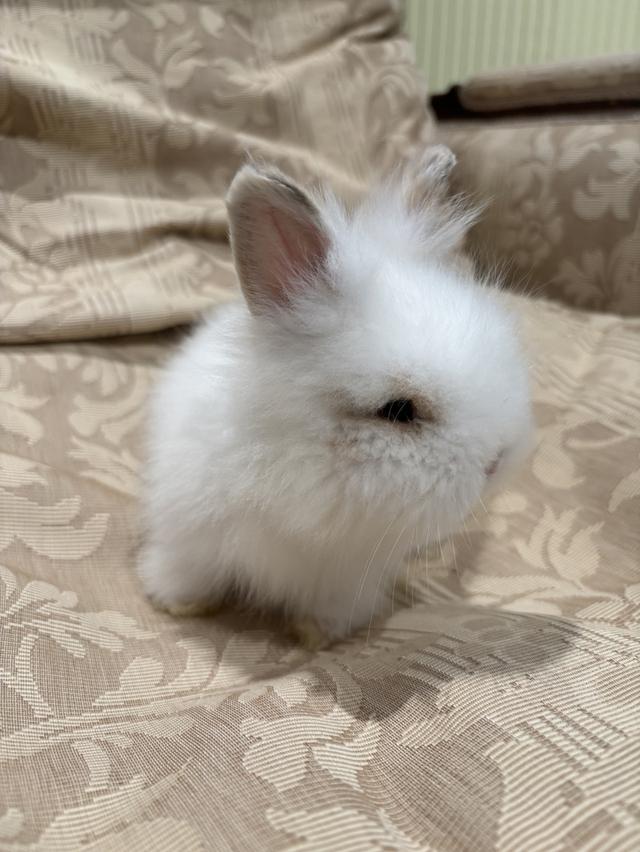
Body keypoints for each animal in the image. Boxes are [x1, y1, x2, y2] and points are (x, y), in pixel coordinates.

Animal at [138, 145, 532, 647]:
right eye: (398, 410)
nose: (499, 461)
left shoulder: (346, 576)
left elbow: (330, 607)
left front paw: (316, 635)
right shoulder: (190, 532)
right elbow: (188, 571)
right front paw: (175, 603)